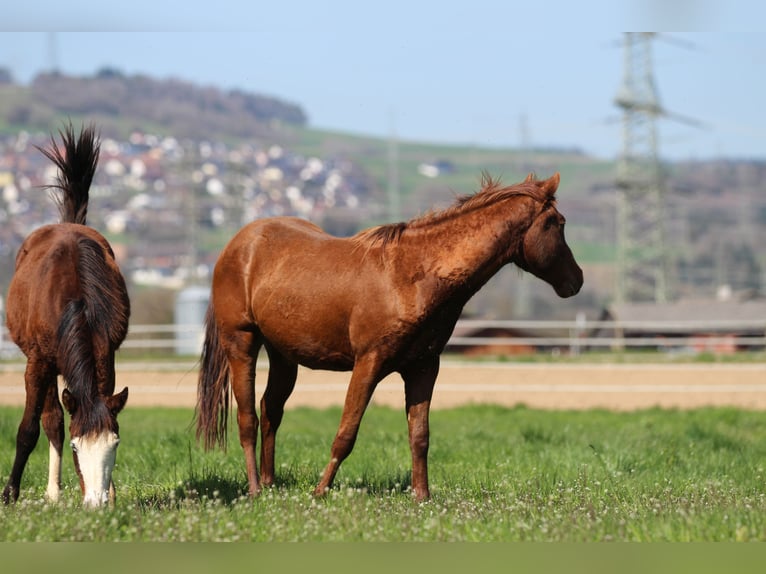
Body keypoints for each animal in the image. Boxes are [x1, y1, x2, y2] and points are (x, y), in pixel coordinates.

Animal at [2, 124, 130, 508]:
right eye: (76, 447)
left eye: (114, 445)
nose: (96, 503)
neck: (76, 303)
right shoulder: (38, 362)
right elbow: (31, 428)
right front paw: (10, 493)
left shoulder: (106, 355)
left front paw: (113, 494)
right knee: (52, 420)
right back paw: (53, 491)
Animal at [196, 172, 582, 501]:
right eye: (559, 223)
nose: (576, 280)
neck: (413, 276)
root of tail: (238, 244)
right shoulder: (369, 363)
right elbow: (346, 432)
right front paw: (320, 492)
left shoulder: (424, 367)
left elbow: (420, 436)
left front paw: (422, 497)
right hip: (242, 343)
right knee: (248, 417)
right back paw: (255, 489)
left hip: (284, 355)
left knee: (270, 410)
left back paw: (271, 483)